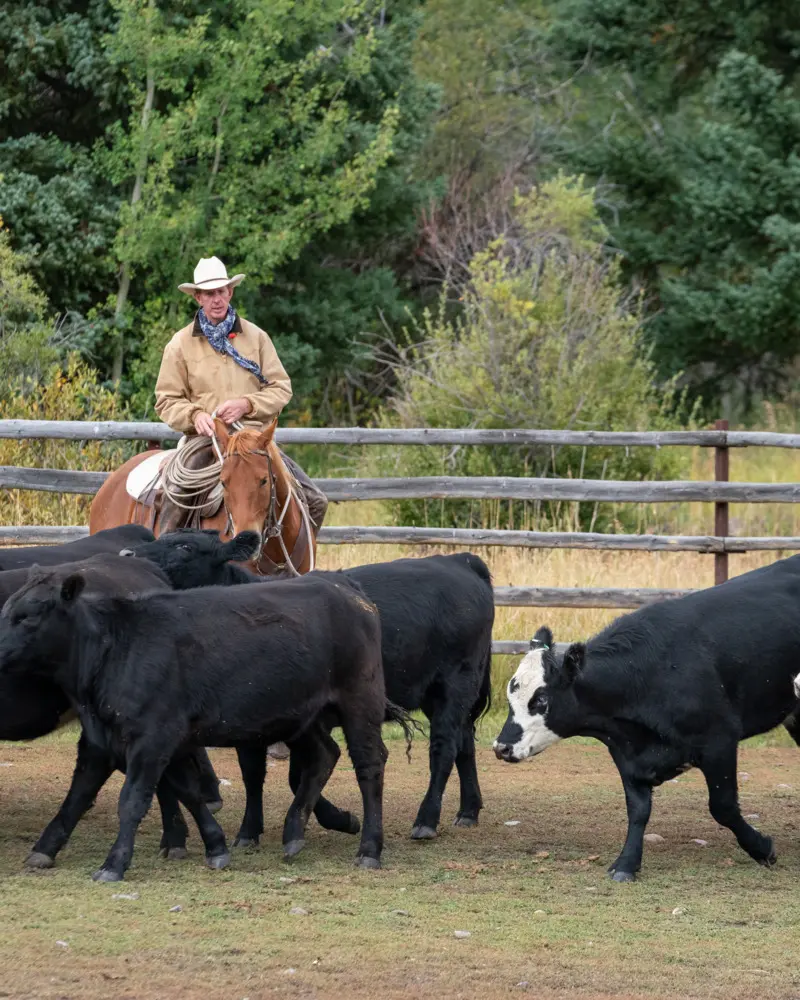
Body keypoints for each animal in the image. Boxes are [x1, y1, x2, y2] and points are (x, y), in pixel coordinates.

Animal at [0, 568, 390, 880]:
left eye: (28, 615)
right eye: (7, 612)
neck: (117, 648)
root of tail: (343, 586)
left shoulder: (151, 738)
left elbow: (133, 800)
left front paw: (114, 864)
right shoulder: (111, 740)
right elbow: (94, 794)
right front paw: (215, 846)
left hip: (360, 701)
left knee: (369, 765)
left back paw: (369, 849)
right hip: (300, 716)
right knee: (324, 755)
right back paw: (294, 832)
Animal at [124, 532, 494, 836]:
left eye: (185, 547)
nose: (127, 553)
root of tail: (460, 561)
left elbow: (295, 774)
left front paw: (338, 819)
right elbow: (255, 771)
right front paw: (251, 829)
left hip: (455, 683)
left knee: (444, 747)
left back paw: (426, 819)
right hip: (439, 694)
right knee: (464, 742)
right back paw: (469, 809)